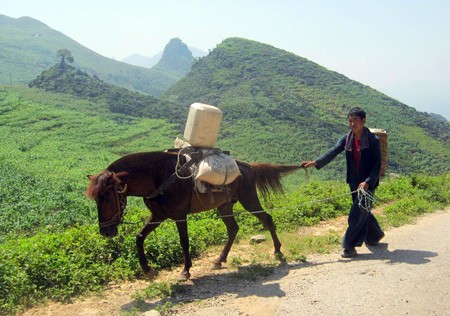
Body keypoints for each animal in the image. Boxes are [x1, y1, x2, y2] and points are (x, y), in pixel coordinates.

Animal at [85, 149, 302, 280]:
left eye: (105, 198)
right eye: (95, 199)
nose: (106, 232)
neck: (159, 178)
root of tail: (248, 167)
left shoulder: (180, 215)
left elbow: (184, 241)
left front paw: (185, 271)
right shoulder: (158, 215)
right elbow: (139, 237)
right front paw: (148, 269)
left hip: (248, 200)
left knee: (267, 219)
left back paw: (277, 250)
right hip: (225, 206)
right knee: (233, 229)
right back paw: (219, 260)